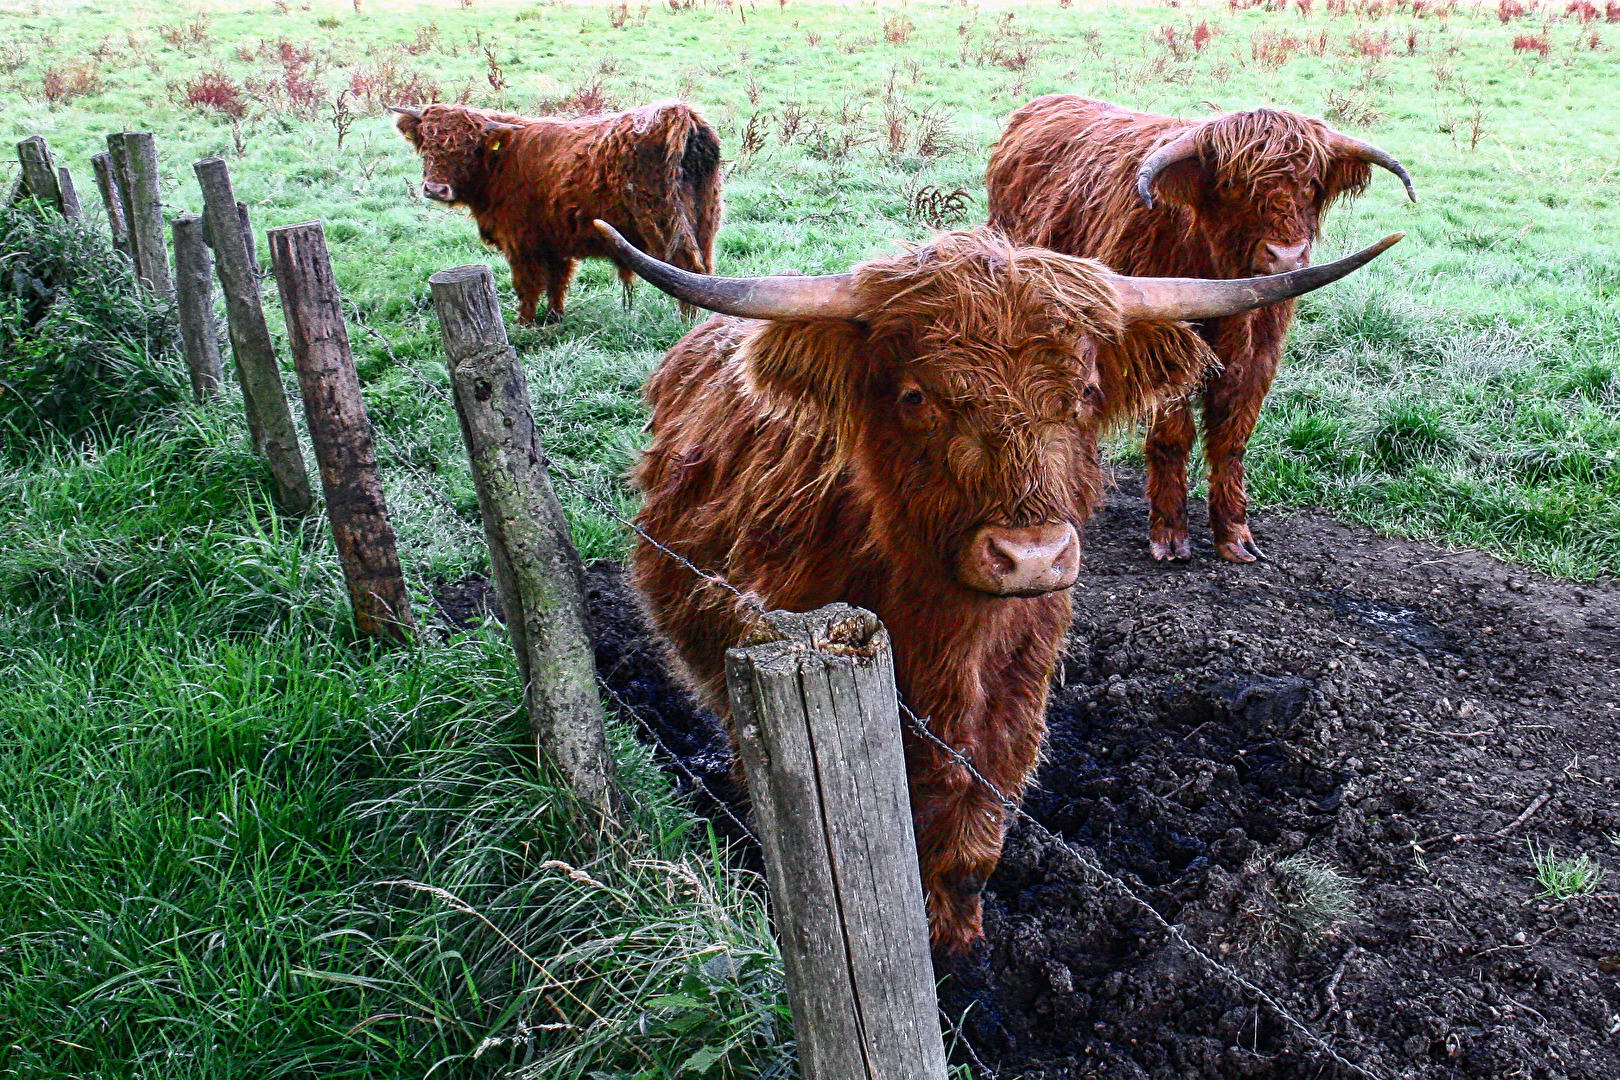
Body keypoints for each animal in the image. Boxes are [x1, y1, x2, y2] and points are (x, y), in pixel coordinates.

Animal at [392, 102, 722, 323]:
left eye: (468, 148)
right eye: (427, 144)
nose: (435, 189)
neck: (499, 163)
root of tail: (677, 114)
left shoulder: (520, 242)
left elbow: (527, 285)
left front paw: (524, 323)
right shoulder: (553, 240)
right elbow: (557, 281)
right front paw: (554, 318)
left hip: (666, 224)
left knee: (684, 269)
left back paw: (688, 322)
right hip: (704, 223)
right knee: (703, 273)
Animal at [589, 220, 1399, 952]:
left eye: (1087, 390)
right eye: (917, 397)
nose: (1032, 556)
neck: (951, 643)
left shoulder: (1016, 707)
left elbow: (972, 848)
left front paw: (962, 948)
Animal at [978, 99, 1412, 566]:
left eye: (1312, 182)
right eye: (1237, 185)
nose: (1286, 256)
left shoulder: (1258, 359)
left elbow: (1232, 438)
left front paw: (1235, 534)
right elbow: (1174, 436)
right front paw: (1170, 536)